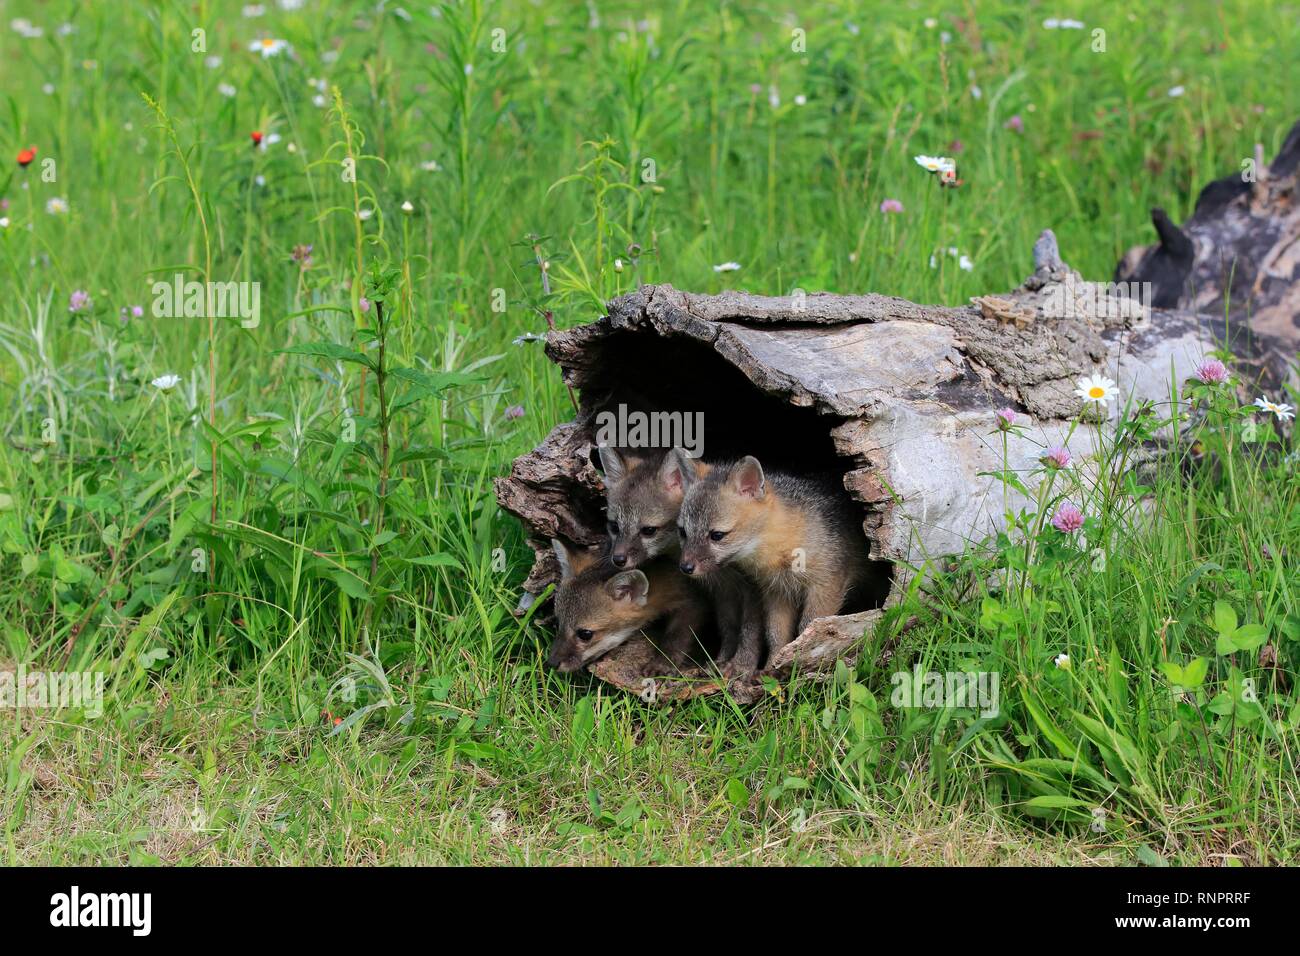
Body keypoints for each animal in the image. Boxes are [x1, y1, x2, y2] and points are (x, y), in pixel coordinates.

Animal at [546, 538, 711, 677]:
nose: (551, 663)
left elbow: (676, 636)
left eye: (585, 634)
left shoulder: (692, 601)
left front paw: (663, 662)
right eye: (558, 623)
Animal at [674, 451, 870, 665]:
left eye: (717, 535)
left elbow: (809, 627)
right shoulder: (777, 592)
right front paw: (773, 664)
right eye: (683, 532)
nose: (685, 567)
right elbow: (775, 634)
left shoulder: (825, 586)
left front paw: (798, 659)